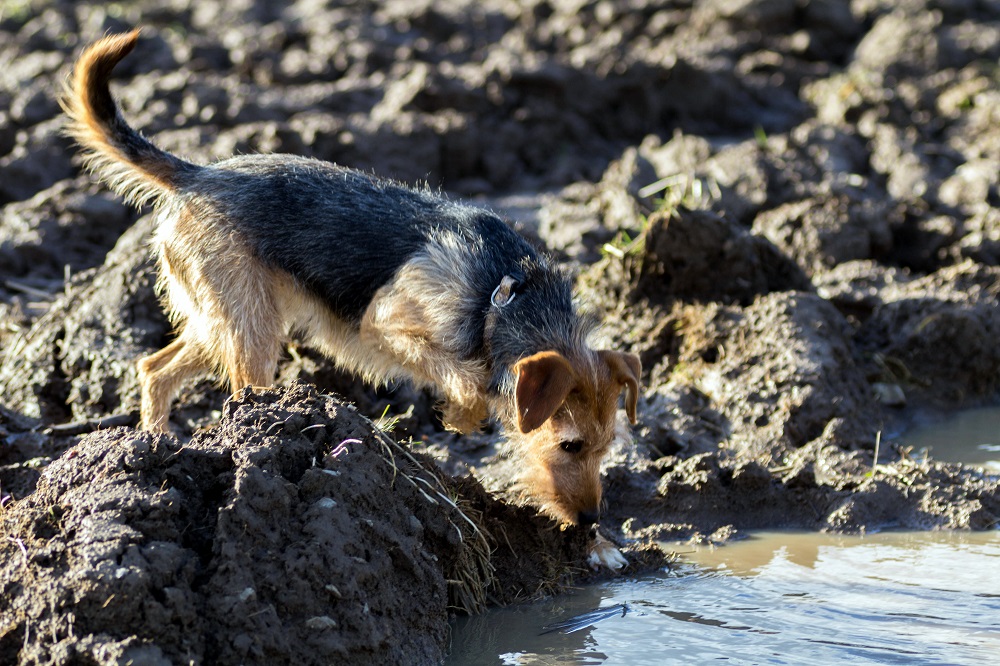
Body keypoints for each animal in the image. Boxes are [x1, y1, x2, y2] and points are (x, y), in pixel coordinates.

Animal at [62, 30, 641, 540]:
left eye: (607, 447)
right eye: (570, 445)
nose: (592, 521)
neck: (503, 296)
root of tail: (198, 174)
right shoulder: (383, 323)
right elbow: (464, 376)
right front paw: (464, 413)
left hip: (223, 319)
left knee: (154, 369)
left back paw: (155, 444)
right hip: (250, 326)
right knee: (234, 387)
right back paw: (252, 432)